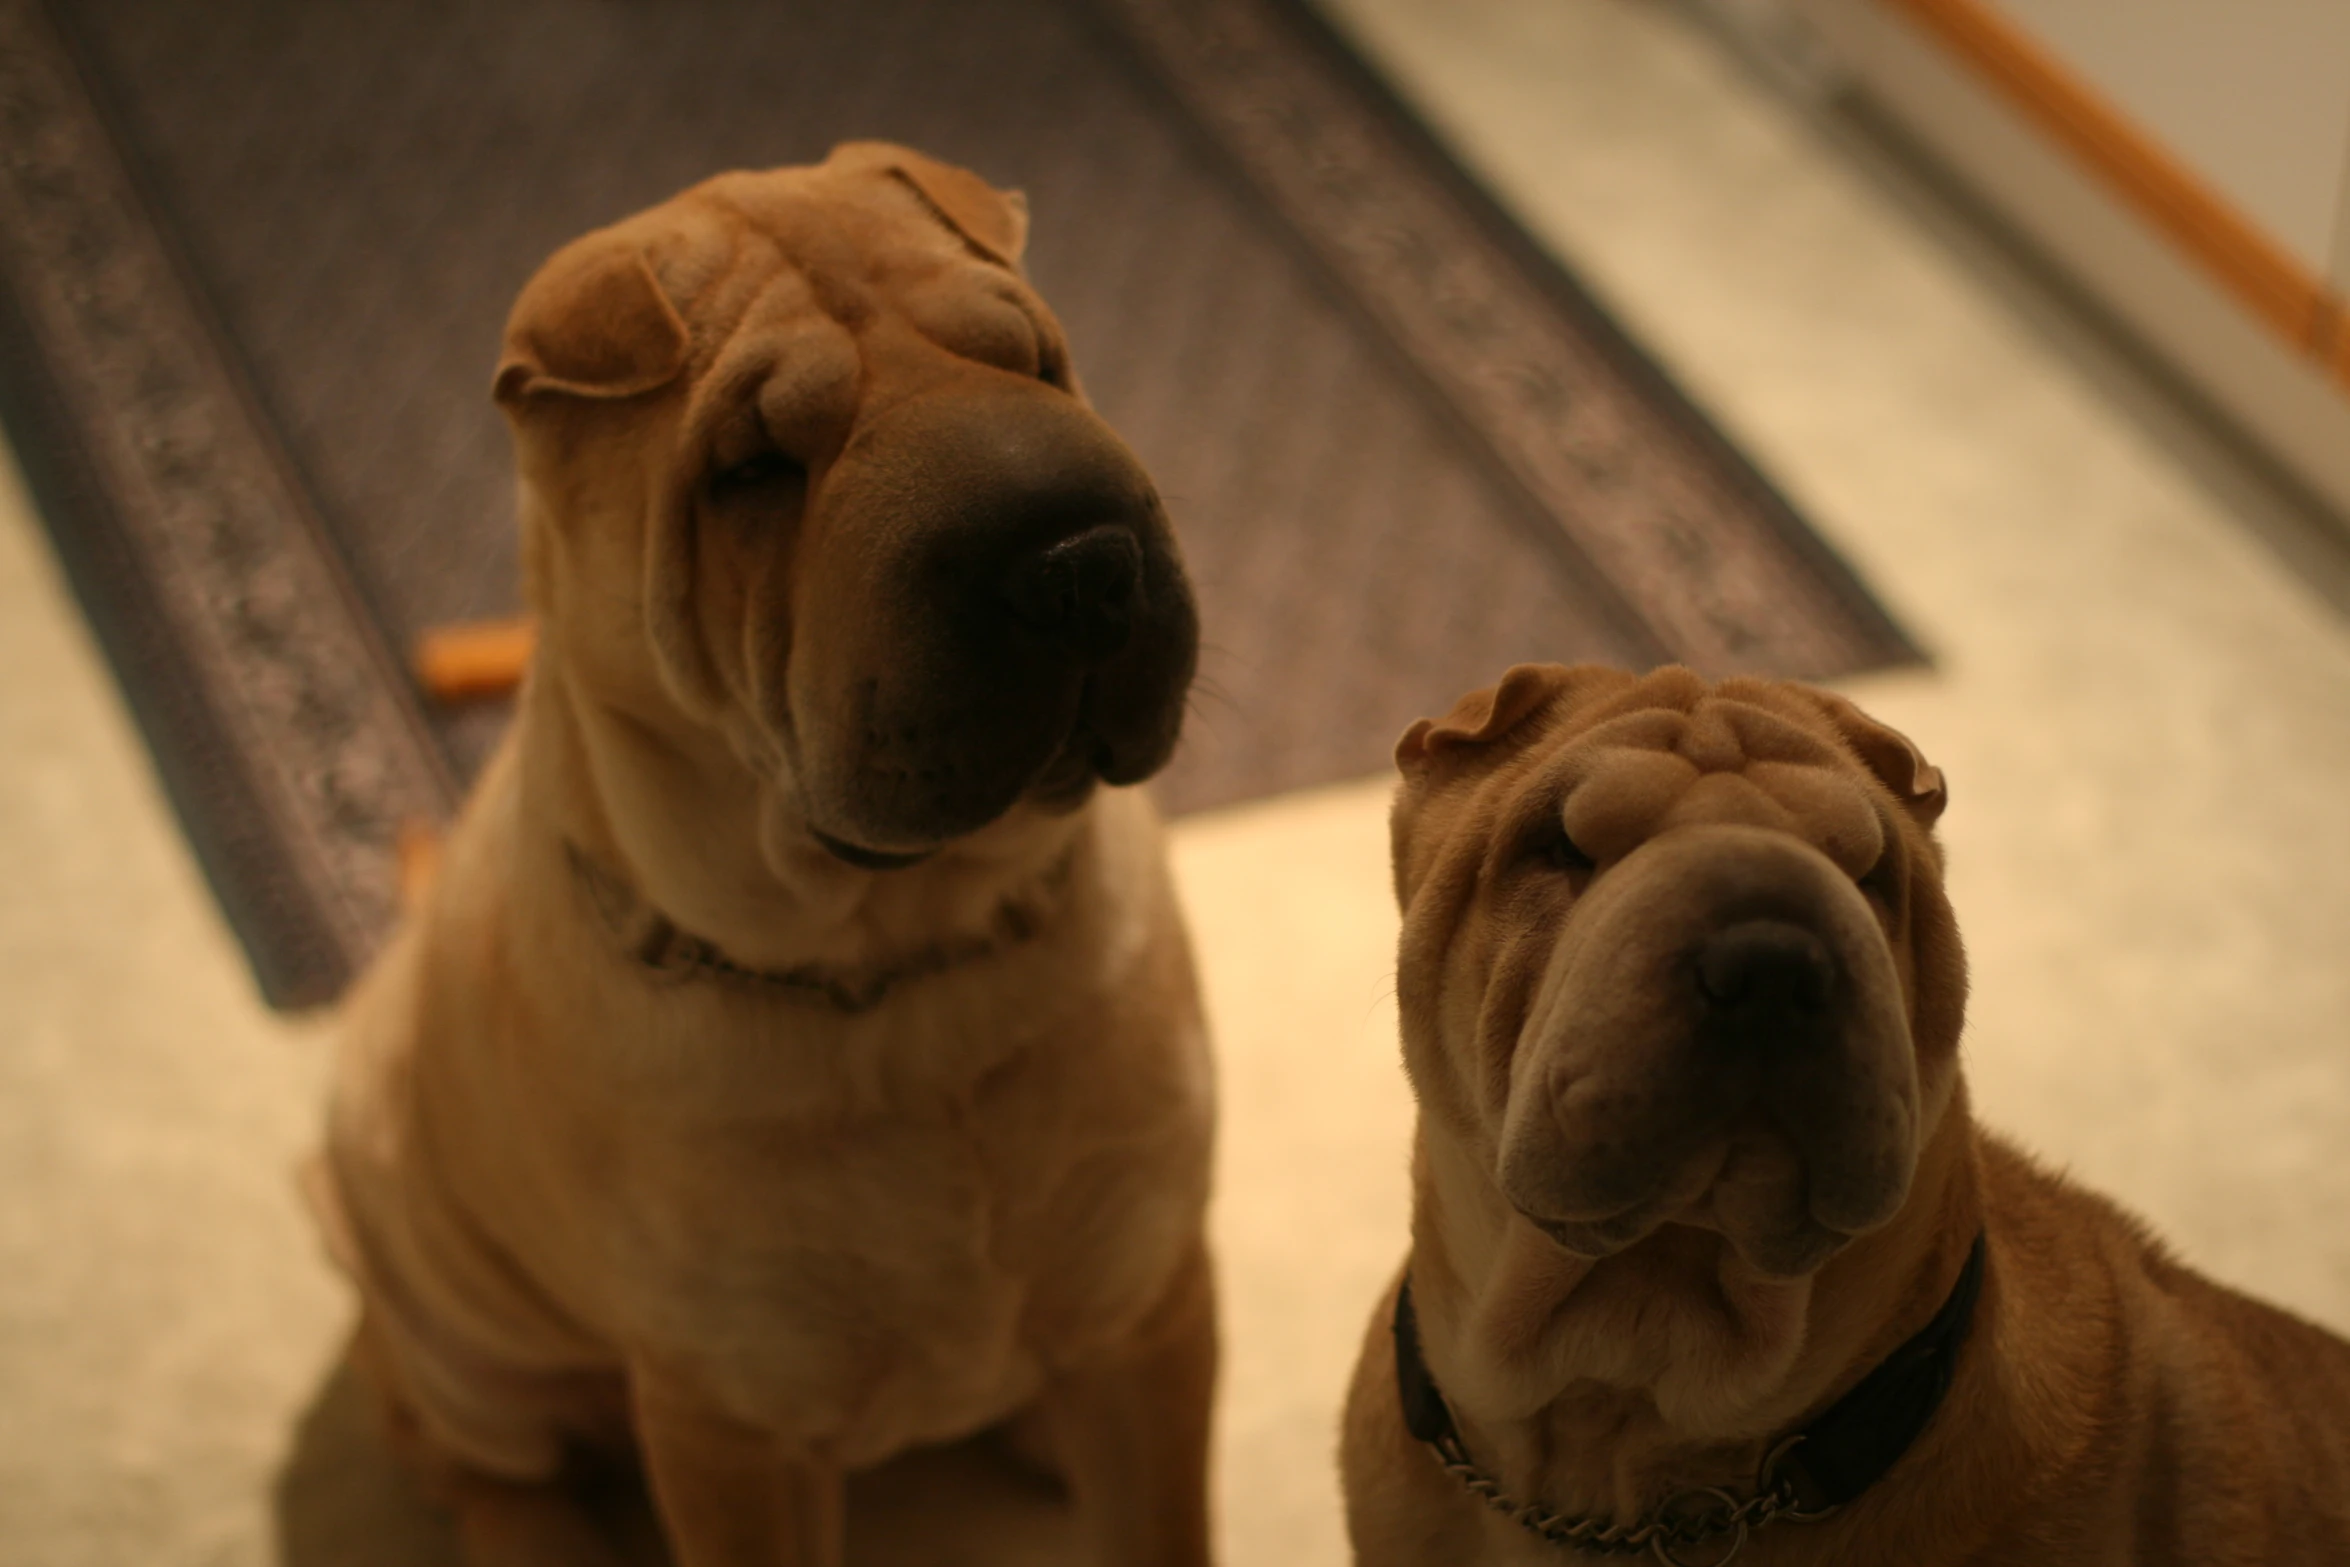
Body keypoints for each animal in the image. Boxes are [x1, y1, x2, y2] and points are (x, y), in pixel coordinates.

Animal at [305, 140, 1222, 1559]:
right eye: (750, 467)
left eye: (1029, 358)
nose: (1075, 559)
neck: (904, 967)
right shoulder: (736, 1426)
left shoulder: (1152, 1300)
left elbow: (1160, 1518)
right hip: (444, 1320)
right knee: (476, 1466)